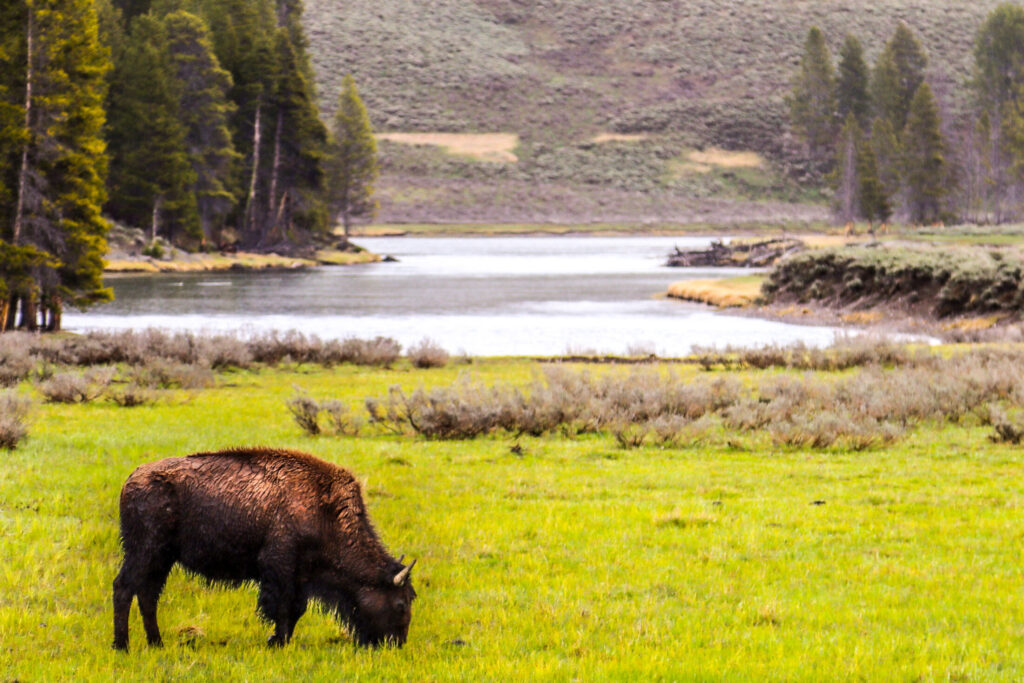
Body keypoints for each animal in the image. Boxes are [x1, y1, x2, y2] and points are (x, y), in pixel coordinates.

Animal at [112, 448, 415, 651]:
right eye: (400, 603)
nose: (397, 644)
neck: (325, 511)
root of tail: (131, 479)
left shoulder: (301, 576)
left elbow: (296, 609)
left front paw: (280, 639)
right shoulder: (279, 566)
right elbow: (281, 606)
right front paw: (276, 641)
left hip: (162, 559)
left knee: (148, 595)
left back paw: (156, 643)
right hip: (144, 552)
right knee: (124, 587)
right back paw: (122, 646)